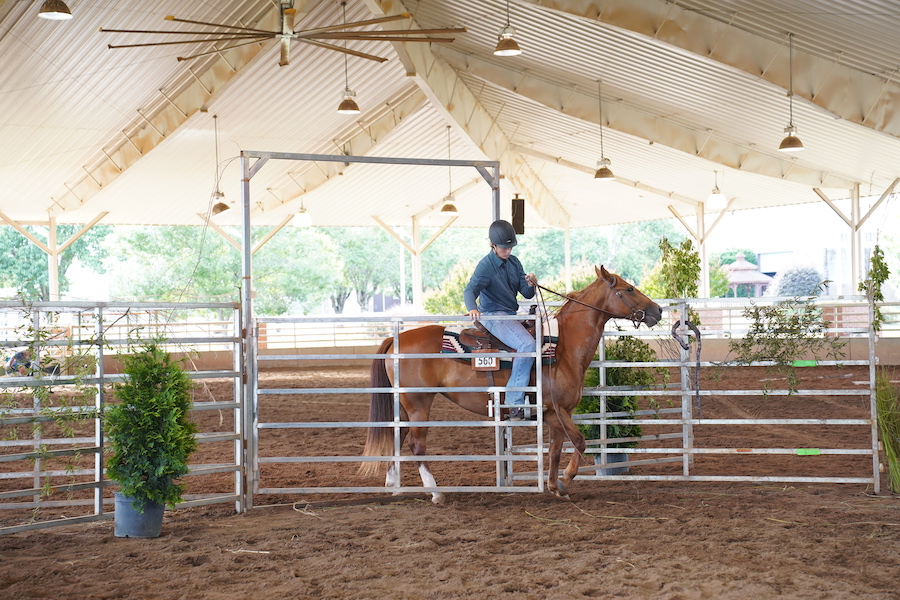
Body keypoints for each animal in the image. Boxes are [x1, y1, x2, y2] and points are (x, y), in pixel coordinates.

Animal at [358, 264, 660, 504]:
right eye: (629, 288)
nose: (657, 310)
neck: (563, 348)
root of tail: (395, 340)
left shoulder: (557, 415)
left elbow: (555, 450)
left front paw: (555, 486)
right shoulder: (554, 411)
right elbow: (579, 441)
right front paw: (566, 479)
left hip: (404, 405)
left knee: (396, 437)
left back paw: (394, 485)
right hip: (420, 404)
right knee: (416, 445)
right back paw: (436, 493)